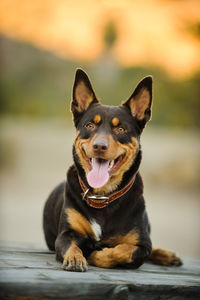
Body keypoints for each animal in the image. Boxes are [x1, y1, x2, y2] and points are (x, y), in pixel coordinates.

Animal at [43, 69, 182, 272]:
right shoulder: (66, 234)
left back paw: (167, 255)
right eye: (90, 125)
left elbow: (124, 251)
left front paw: (96, 254)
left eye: (121, 129)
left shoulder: (142, 245)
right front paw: (76, 257)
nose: (100, 146)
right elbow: (73, 246)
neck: (102, 196)